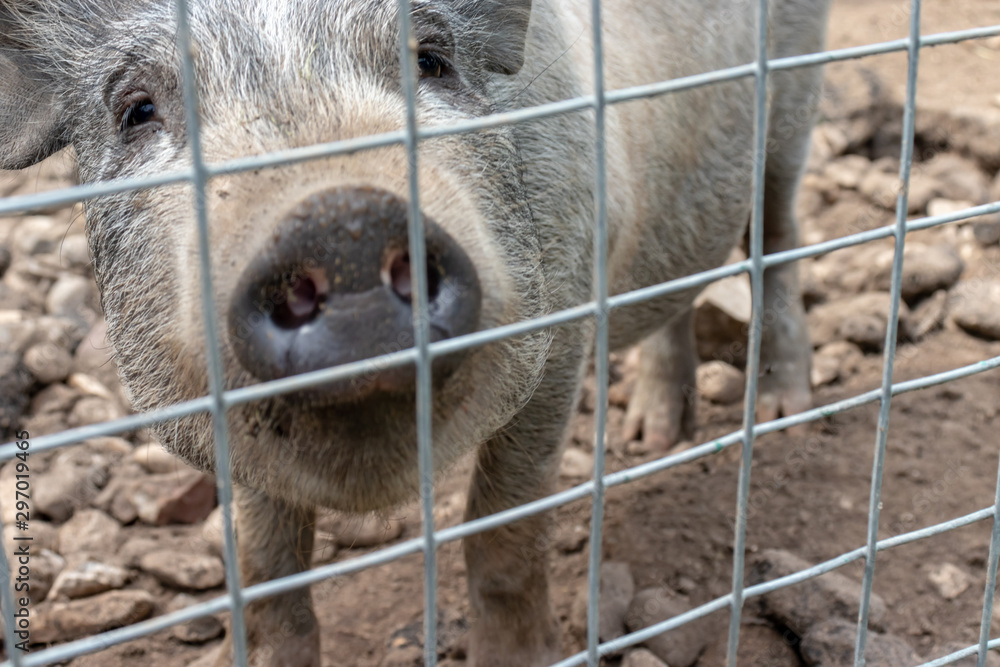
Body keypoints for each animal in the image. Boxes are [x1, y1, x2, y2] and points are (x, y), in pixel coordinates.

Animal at [0, 0, 828, 664]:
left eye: (431, 60)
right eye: (137, 110)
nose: (342, 219)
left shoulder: (563, 334)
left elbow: (501, 535)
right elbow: (266, 573)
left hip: (794, 108)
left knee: (778, 241)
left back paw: (786, 414)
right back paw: (653, 438)